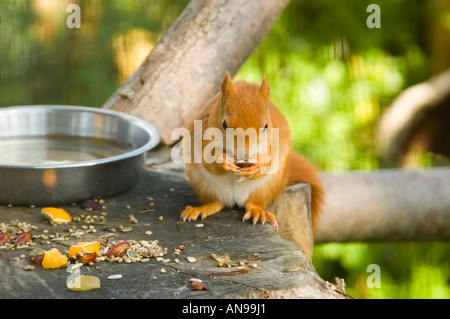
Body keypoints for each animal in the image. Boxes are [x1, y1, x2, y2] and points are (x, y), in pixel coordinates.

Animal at [179, 72, 324, 232]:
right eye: (224, 124)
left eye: (266, 126)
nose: (244, 154)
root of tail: (234, 199)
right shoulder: (200, 136)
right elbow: (208, 163)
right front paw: (223, 161)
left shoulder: (276, 142)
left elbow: (270, 161)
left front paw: (257, 167)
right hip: (202, 183)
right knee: (216, 202)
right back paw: (200, 209)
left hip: (268, 186)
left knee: (253, 203)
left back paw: (258, 212)